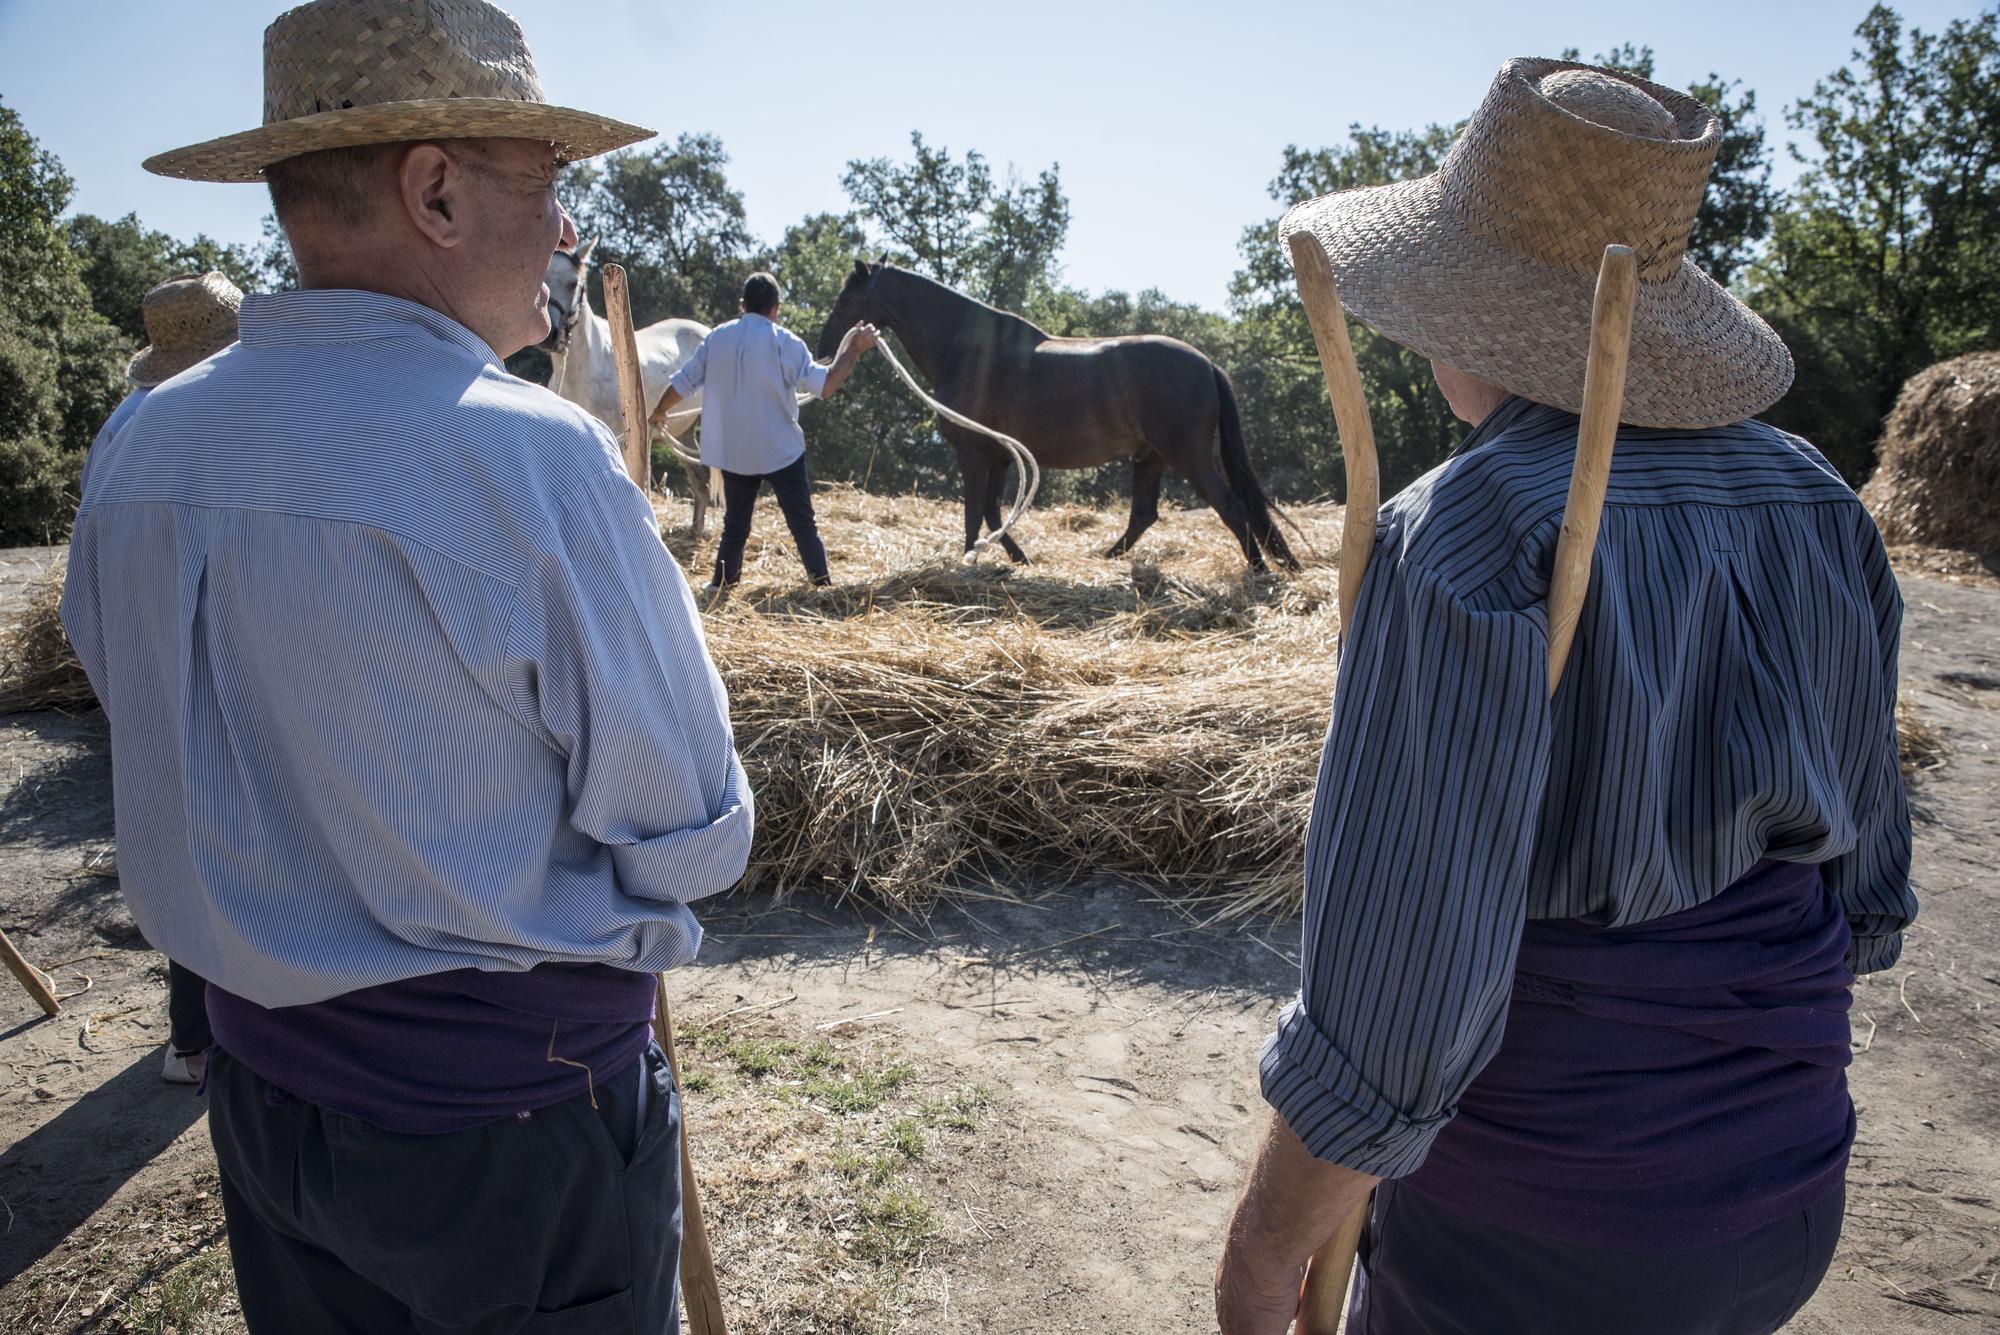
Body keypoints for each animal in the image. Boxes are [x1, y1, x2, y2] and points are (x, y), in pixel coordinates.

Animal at [812, 263, 1296, 571]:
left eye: (845, 299)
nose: (823, 348)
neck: (967, 351)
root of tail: (1207, 365)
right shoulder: (1000, 458)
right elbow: (993, 514)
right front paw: (1017, 558)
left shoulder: (973, 455)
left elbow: (974, 513)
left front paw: (970, 560)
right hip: (1151, 458)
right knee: (1143, 516)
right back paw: (1107, 559)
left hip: (1189, 457)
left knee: (1232, 508)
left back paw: (1258, 571)